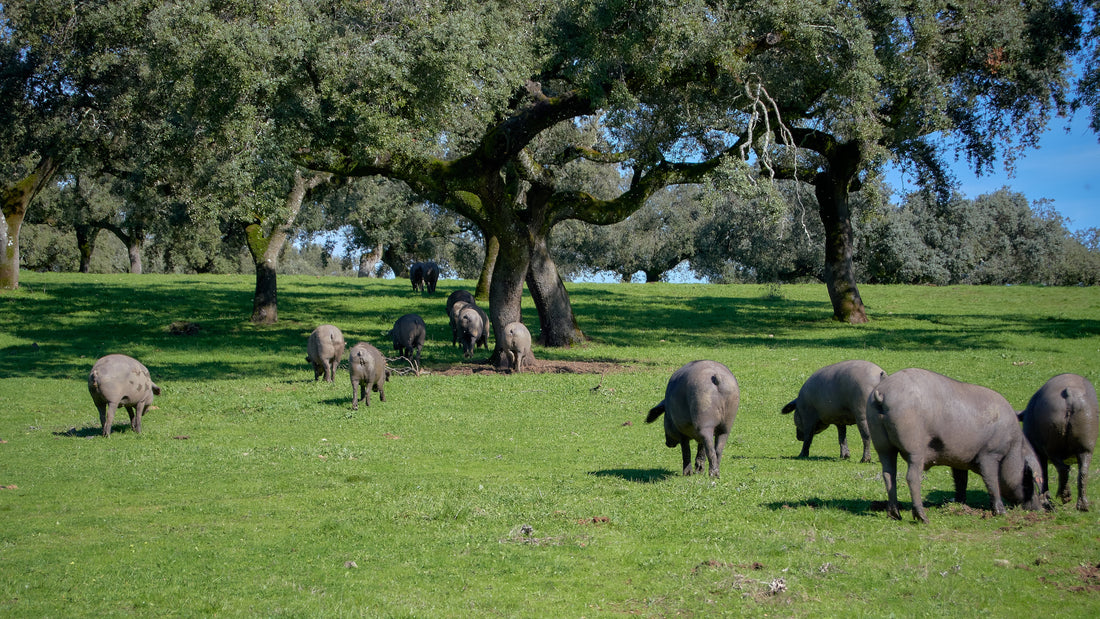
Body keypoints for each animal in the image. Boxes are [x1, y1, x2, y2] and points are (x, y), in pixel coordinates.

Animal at [866, 367, 1038, 523]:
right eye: (1028, 480)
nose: (1040, 507)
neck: (1013, 447)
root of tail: (882, 393)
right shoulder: (989, 454)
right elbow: (992, 481)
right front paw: (1002, 513)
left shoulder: (958, 460)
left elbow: (961, 481)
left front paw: (961, 504)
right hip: (914, 447)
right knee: (912, 477)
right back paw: (923, 518)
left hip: (882, 445)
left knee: (888, 474)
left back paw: (894, 515)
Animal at [1016, 373, 1095, 514]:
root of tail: (1070, 394)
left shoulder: (1040, 453)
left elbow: (1043, 473)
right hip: (1085, 447)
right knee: (1082, 472)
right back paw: (1081, 505)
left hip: (1052, 447)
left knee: (1064, 469)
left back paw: (1062, 498)